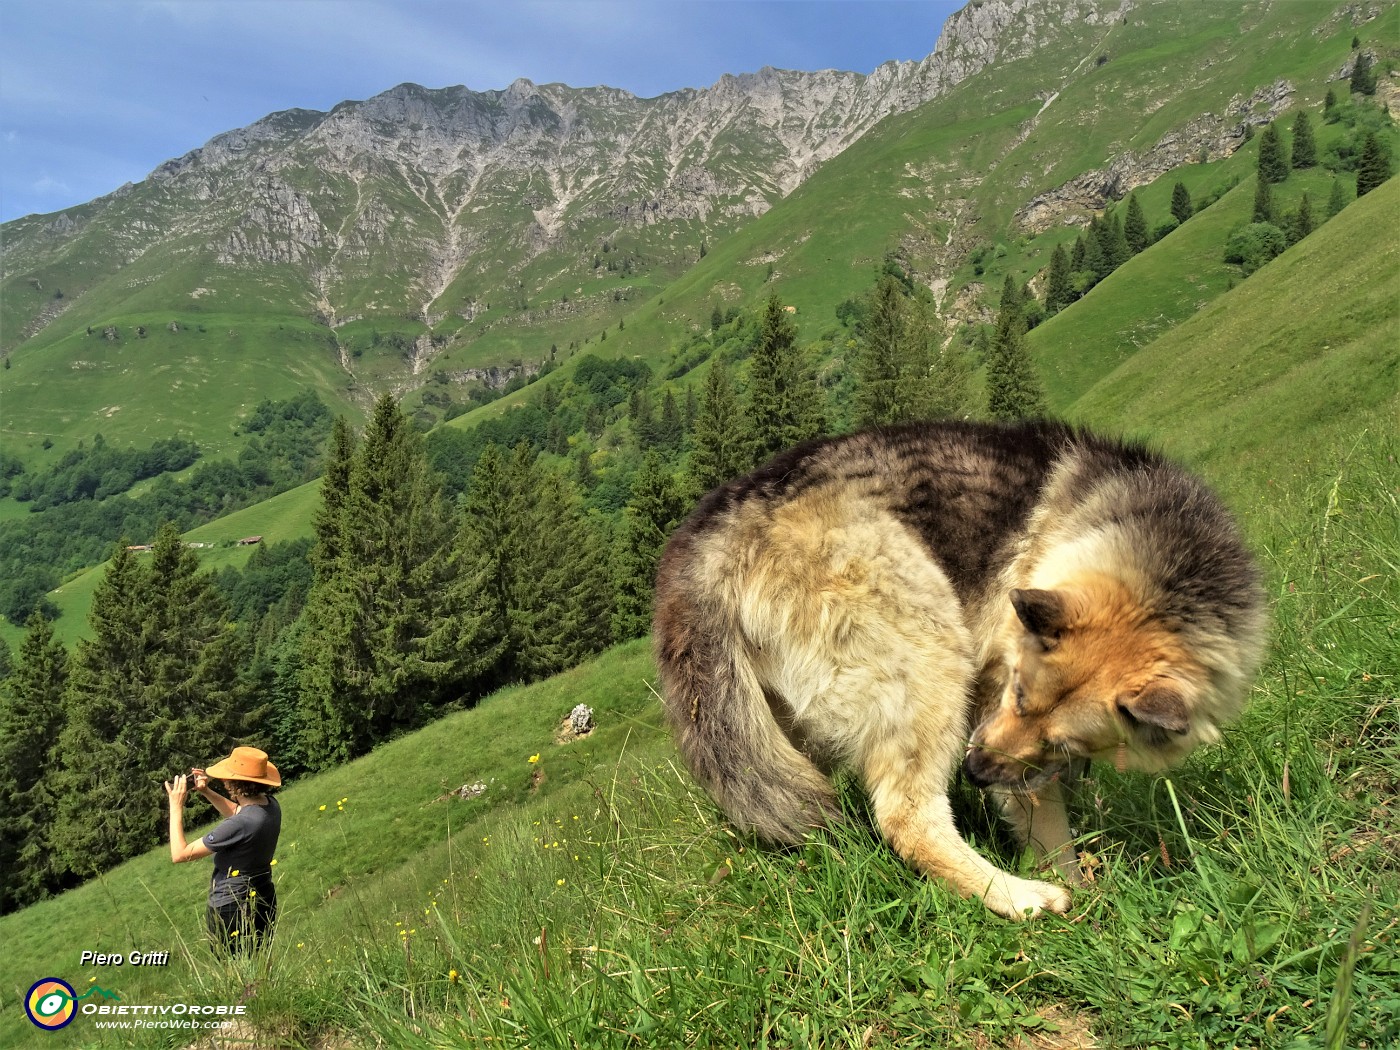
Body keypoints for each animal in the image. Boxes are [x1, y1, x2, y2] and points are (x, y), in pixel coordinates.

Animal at [655, 420, 1271, 918]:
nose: (973, 771)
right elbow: (1046, 822)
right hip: (930, 652)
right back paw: (1017, 897)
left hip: (775, 734)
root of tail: (709, 542)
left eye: (1068, 743)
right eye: (1015, 693)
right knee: (907, 819)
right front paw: (1072, 889)